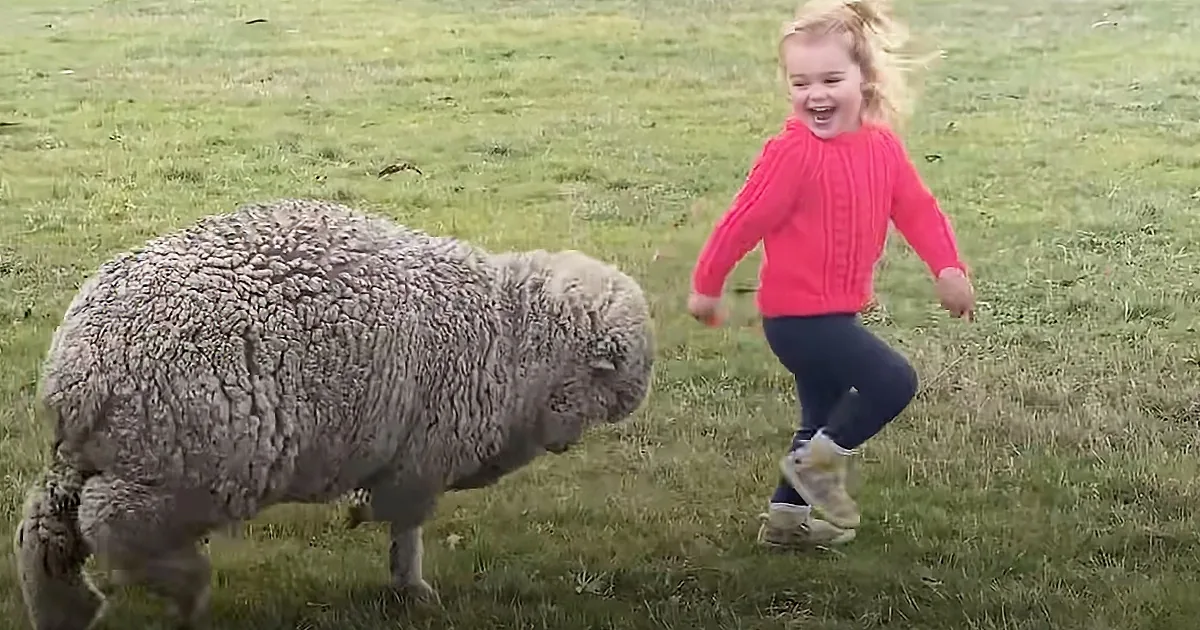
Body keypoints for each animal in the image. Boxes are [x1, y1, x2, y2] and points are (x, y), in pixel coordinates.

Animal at [13, 197, 656, 630]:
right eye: (605, 395)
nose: (566, 443)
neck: (512, 330)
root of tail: (81, 368)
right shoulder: (422, 458)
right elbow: (406, 526)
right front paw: (411, 587)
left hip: (113, 453)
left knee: (46, 527)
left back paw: (66, 610)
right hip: (196, 462)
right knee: (109, 524)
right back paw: (188, 587)